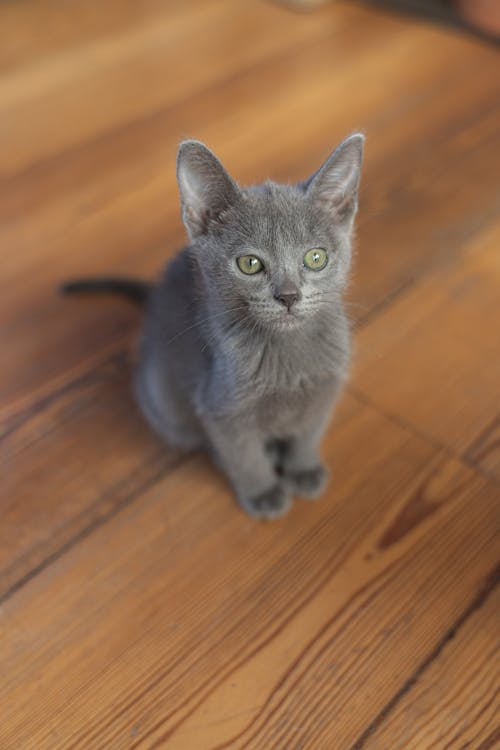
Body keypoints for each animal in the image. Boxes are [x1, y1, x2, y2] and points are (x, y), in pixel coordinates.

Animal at [64, 135, 366, 520]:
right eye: (250, 264)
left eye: (316, 258)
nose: (288, 296)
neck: (287, 355)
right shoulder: (221, 407)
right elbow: (243, 454)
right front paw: (264, 492)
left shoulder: (325, 389)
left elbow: (309, 433)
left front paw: (304, 469)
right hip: (163, 399)